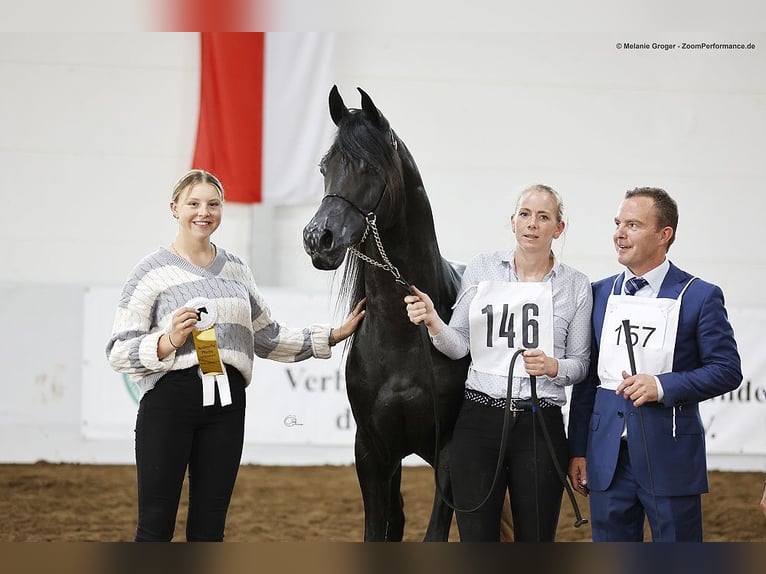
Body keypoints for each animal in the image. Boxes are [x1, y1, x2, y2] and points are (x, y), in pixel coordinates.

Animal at [304, 84, 472, 540]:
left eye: (368, 166)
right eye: (325, 167)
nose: (318, 238)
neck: (403, 338)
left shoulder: (449, 451)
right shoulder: (373, 453)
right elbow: (381, 525)